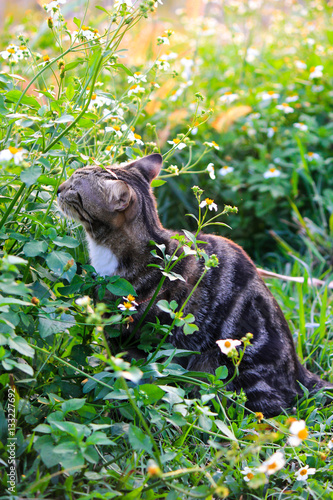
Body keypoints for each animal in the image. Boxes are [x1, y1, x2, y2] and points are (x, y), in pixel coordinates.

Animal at [57, 153, 332, 418]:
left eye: (74, 188)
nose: (59, 188)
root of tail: (298, 373)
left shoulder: (137, 339)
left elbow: (130, 376)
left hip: (221, 366)